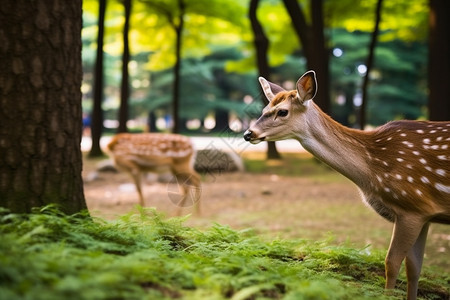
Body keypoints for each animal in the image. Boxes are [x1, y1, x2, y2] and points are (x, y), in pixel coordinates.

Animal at [244, 71, 448, 300]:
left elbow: (391, 263)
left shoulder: (410, 206)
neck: (373, 172)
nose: (248, 133)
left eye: (282, 111)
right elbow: (414, 269)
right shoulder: (424, 213)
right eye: (264, 110)